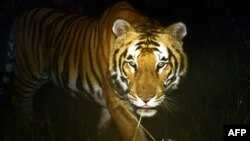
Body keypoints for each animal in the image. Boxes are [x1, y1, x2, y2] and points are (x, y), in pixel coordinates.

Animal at [3, 1, 188, 141]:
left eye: (161, 64)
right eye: (131, 63)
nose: (146, 99)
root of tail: (22, 16)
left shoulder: (110, 103)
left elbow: (104, 123)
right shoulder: (117, 101)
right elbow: (134, 134)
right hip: (28, 72)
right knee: (18, 99)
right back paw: (32, 128)